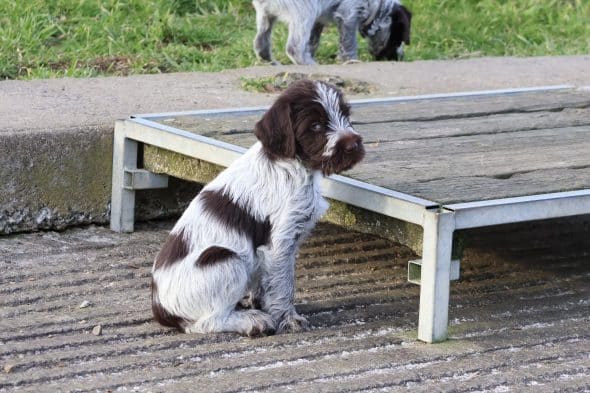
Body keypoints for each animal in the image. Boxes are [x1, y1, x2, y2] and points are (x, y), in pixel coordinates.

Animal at [151, 80, 366, 336]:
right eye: (315, 126)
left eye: (345, 115)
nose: (354, 144)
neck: (293, 165)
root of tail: (161, 309)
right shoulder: (280, 243)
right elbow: (284, 285)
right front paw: (288, 318)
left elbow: (271, 283)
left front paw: (263, 304)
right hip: (224, 258)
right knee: (207, 322)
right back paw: (252, 321)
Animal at [253, 0, 412, 64]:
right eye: (398, 39)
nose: (399, 58)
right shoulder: (349, 14)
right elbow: (349, 44)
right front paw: (351, 61)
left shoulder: (318, 21)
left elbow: (312, 43)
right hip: (306, 9)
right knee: (294, 47)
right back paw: (310, 65)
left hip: (265, 14)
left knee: (261, 44)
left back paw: (271, 62)